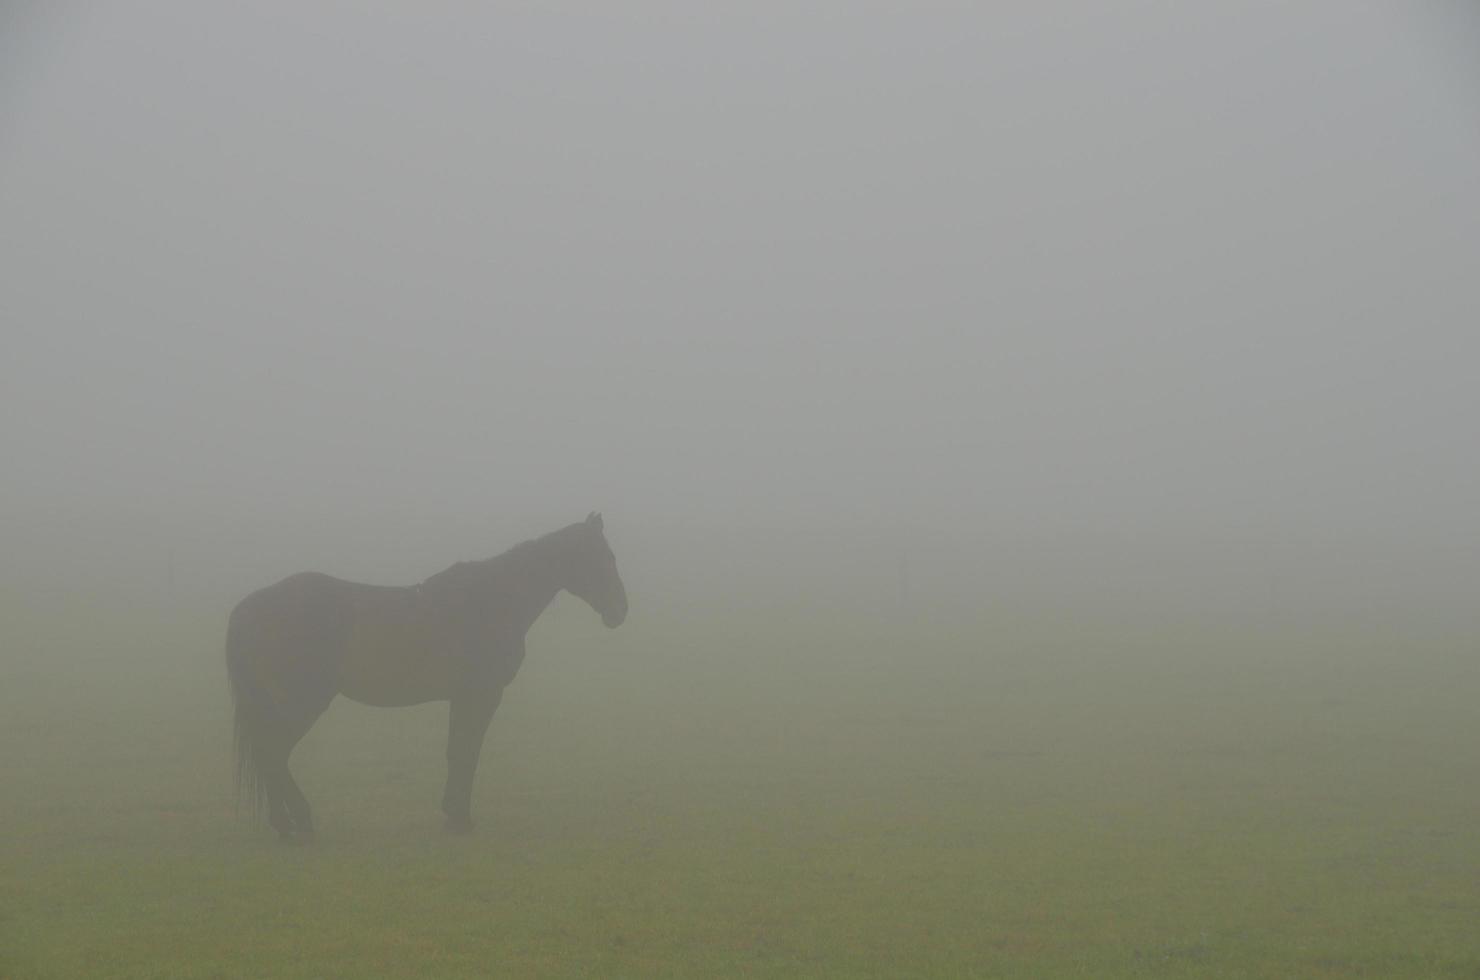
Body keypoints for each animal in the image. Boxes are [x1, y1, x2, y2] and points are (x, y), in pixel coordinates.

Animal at [223, 509, 624, 840]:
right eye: (602, 558)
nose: (621, 610)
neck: (493, 602)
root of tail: (249, 608)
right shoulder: (482, 695)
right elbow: (467, 752)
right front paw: (460, 819)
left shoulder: (463, 697)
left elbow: (457, 751)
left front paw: (452, 815)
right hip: (302, 703)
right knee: (273, 754)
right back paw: (299, 821)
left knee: (270, 757)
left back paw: (285, 823)